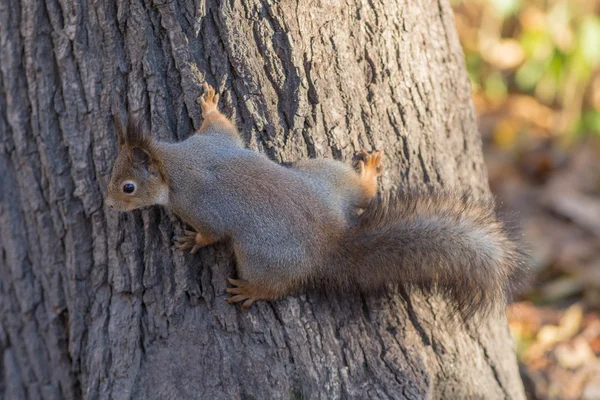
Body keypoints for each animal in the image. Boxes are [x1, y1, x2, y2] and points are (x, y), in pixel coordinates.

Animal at [105, 83, 524, 318]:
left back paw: (252, 290)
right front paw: (209, 104)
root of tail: (331, 241)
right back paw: (368, 174)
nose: (108, 205)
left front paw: (193, 240)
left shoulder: (197, 203)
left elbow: (211, 232)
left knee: (277, 286)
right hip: (323, 174)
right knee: (362, 193)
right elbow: (221, 124)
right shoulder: (214, 141)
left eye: (127, 187)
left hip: (258, 256)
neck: (175, 162)